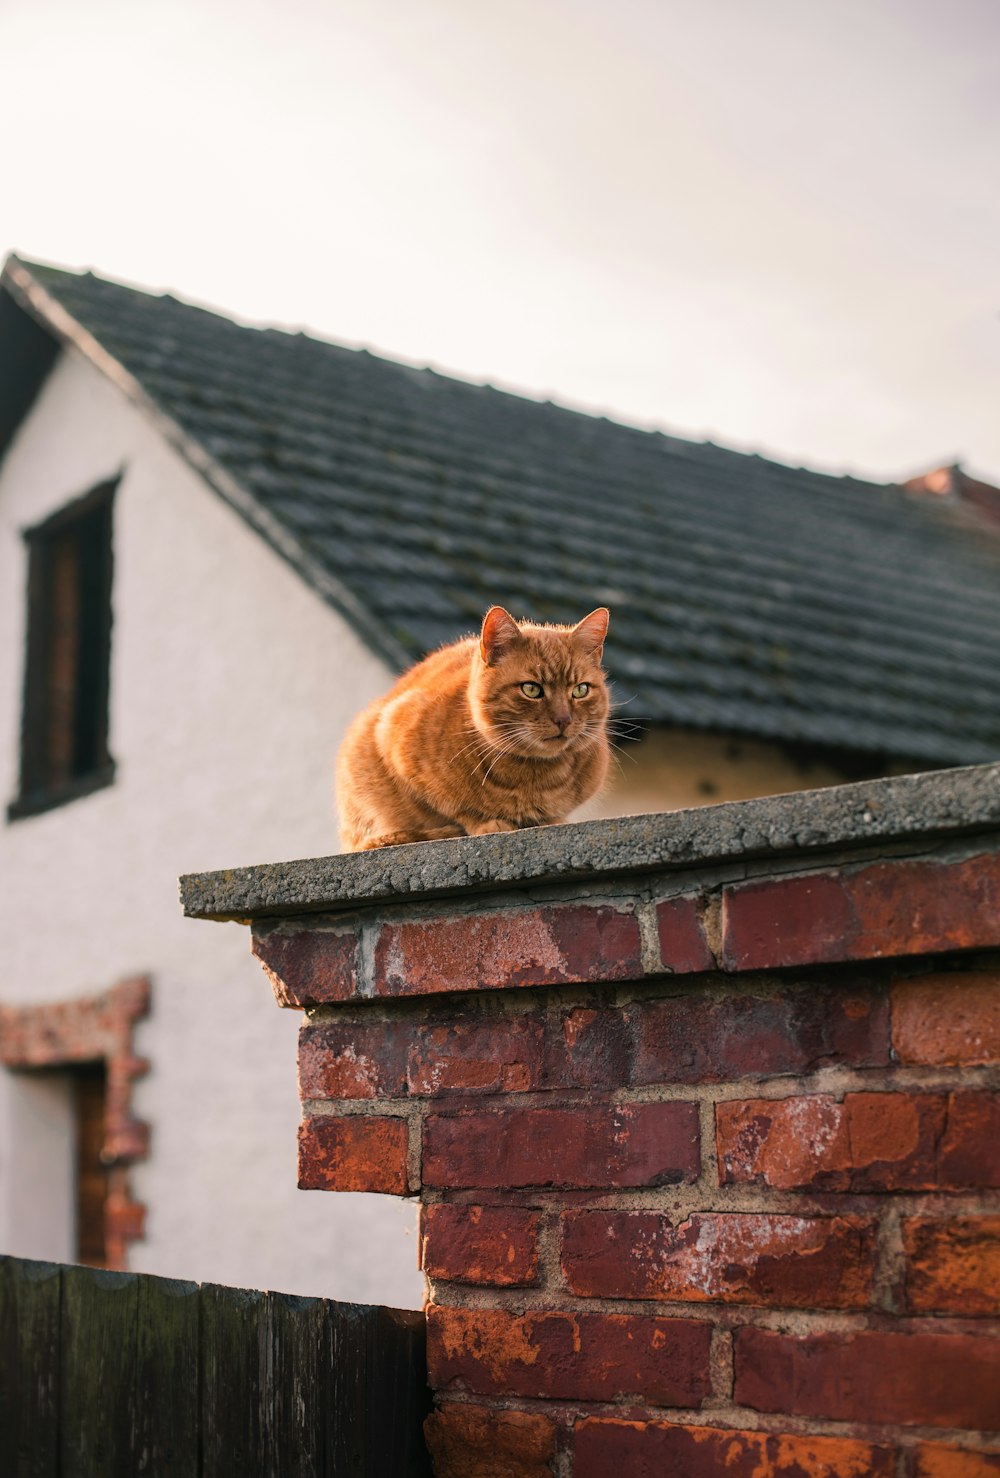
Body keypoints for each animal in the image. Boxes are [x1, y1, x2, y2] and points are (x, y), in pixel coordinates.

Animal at [336, 603, 608, 857]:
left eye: (580, 690)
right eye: (531, 689)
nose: (563, 719)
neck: (532, 777)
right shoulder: (395, 735)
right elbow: (457, 807)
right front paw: (487, 823)